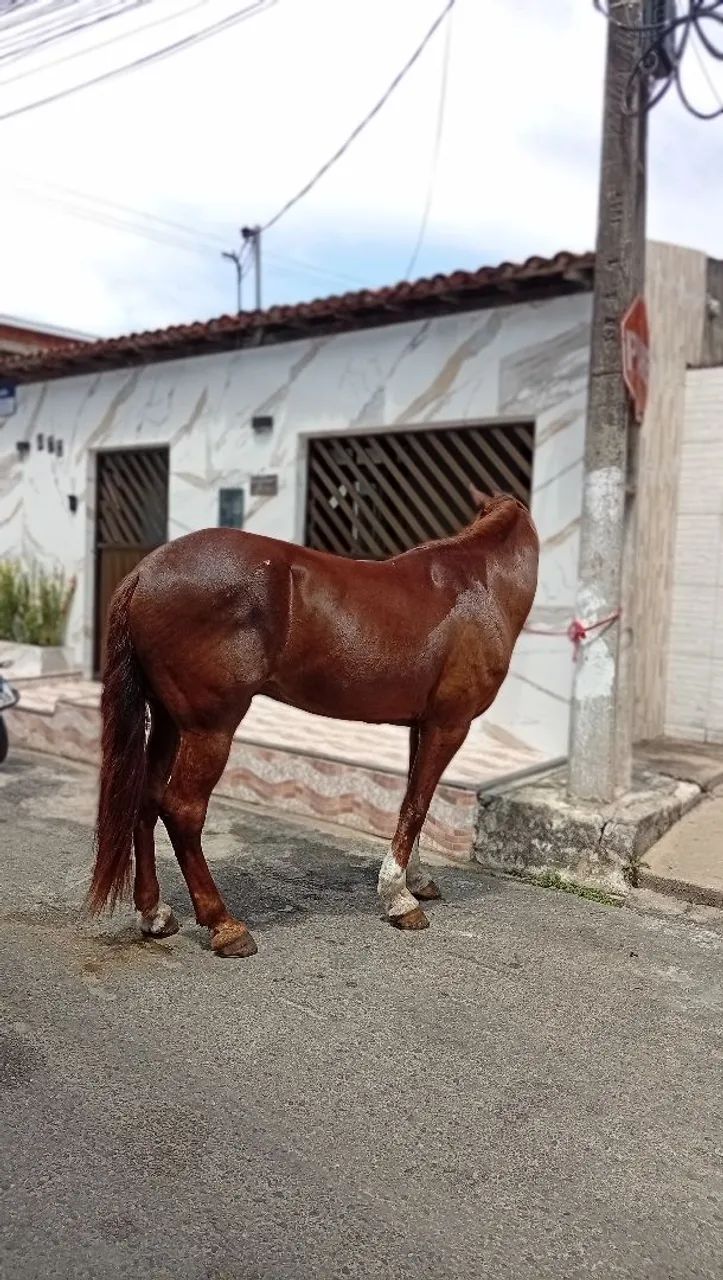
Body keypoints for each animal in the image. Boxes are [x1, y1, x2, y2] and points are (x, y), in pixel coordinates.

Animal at [87, 488, 539, 958]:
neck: (477, 584)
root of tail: (145, 572)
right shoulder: (449, 725)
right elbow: (416, 806)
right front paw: (399, 900)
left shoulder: (423, 724)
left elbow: (413, 802)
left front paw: (415, 882)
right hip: (210, 728)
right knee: (183, 811)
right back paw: (225, 926)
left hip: (169, 720)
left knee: (147, 798)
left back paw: (155, 915)